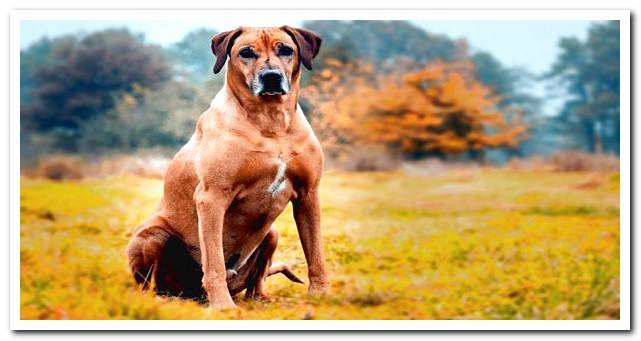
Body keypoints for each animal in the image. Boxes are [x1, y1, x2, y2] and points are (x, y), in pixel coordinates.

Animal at [125, 26, 328, 308]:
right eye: (246, 52)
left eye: (286, 50)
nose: (271, 77)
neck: (271, 121)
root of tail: (191, 294)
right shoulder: (212, 197)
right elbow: (214, 263)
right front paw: (221, 305)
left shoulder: (308, 195)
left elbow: (315, 253)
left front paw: (320, 294)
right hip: (151, 236)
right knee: (151, 284)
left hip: (272, 233)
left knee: (257, 280)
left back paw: (261, 298)